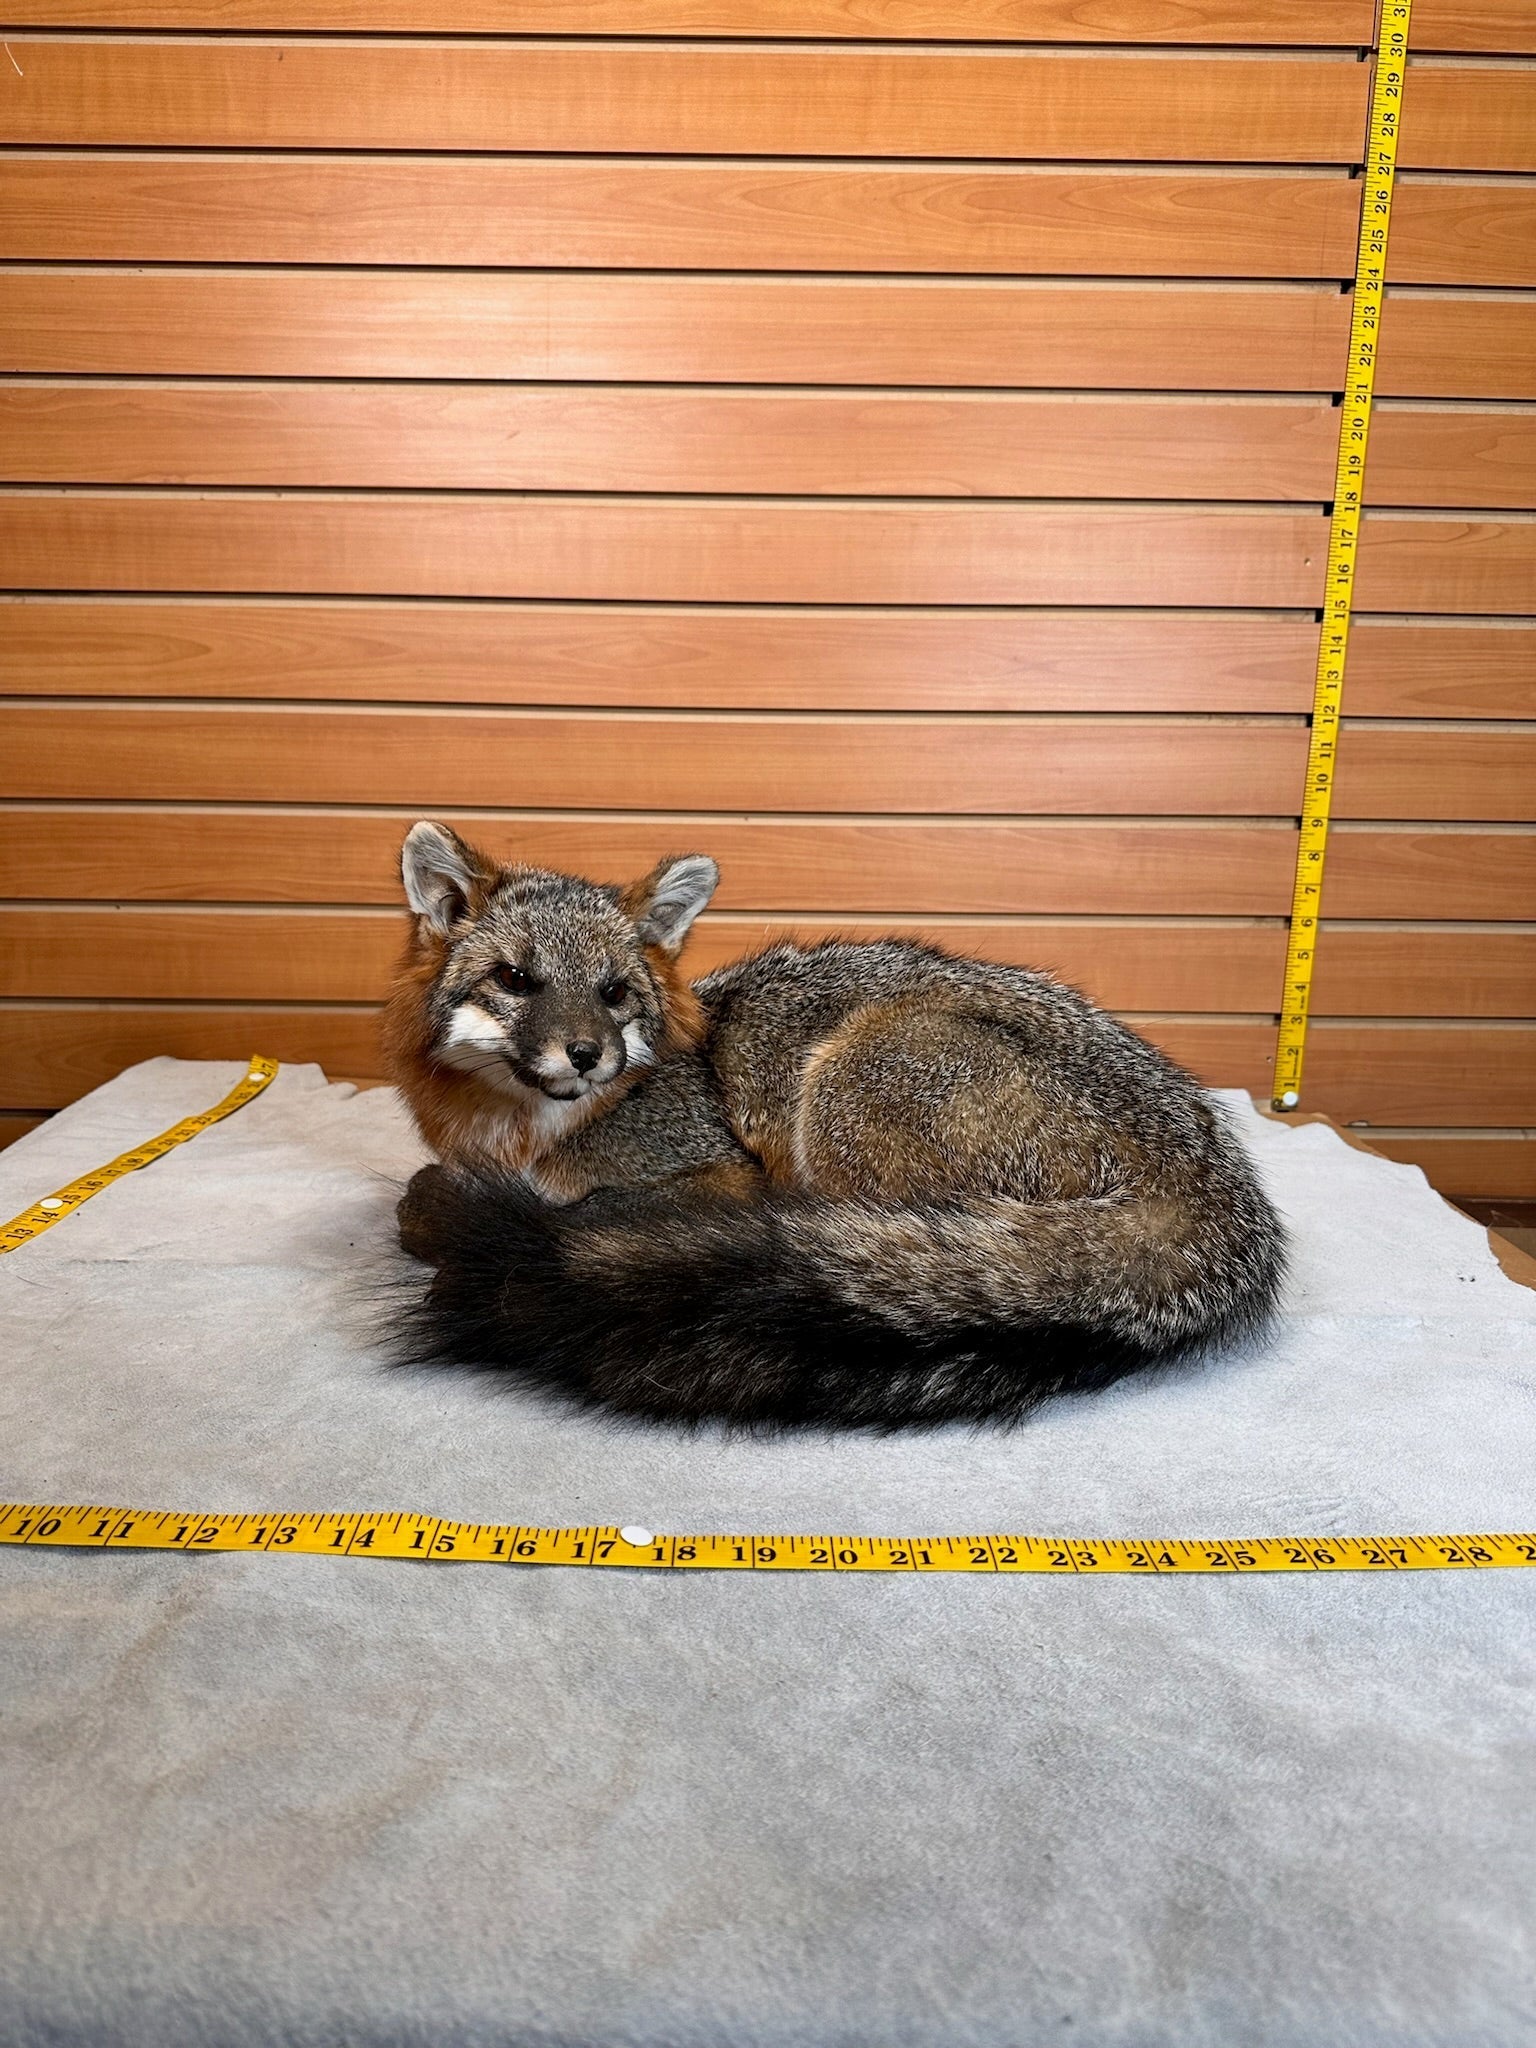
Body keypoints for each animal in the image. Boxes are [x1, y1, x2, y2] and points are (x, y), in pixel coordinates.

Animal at [382, 820, 1286, 1430]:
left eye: (613, 993)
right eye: (515, 979)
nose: (586, 1053)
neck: (524, 1135)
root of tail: (1211, 1175)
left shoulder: (727, 1169)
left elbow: (563, 1204)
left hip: (842, 1092)